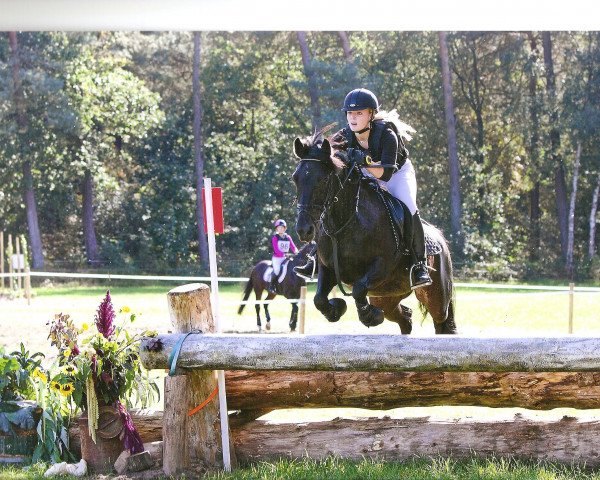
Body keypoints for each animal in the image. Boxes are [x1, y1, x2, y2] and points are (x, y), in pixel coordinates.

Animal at [292, 131, 458, 334]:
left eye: (323, 180)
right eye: (295, 178)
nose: (304, 230)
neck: (346, 223)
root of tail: (440, 237)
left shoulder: (382, 265)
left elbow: (358, 289)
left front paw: (368, 315)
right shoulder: (327, 268)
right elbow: (319, 299)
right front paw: (337, 309)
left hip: (435, 297)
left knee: (443, 319)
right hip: (385, 296)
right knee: (405, 317)